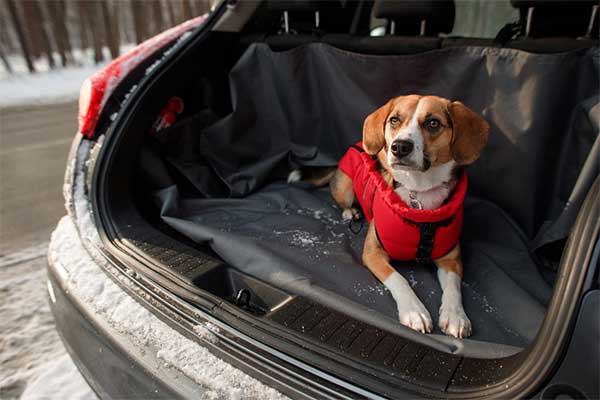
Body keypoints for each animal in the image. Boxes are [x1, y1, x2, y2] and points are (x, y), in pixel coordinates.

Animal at [330, 95, 490, 340]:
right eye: (394, 120)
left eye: (433, 123)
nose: (399, 147)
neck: (419, 192)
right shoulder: (373, 253)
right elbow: (399, 278)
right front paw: (414, 311)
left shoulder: (451, 257)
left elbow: (454, 288)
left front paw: (455, 315)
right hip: (345, 187)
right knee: (344, 201)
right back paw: (351, 212)